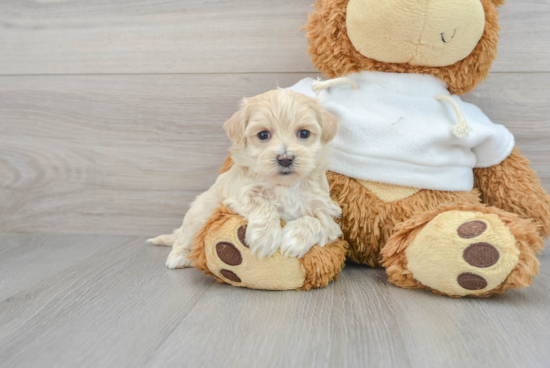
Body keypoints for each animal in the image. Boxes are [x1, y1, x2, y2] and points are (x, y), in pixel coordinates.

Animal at [149, 88, 342, 268]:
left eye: (304, 133)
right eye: (263, 134)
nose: (285, 159)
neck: (286, 185)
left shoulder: (328, 216)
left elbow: (317, 222)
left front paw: (294, 238)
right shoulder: (239, 194)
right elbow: (261, 203)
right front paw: (264, 237)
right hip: (199, 215)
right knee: (184, 238)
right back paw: (179, 257)